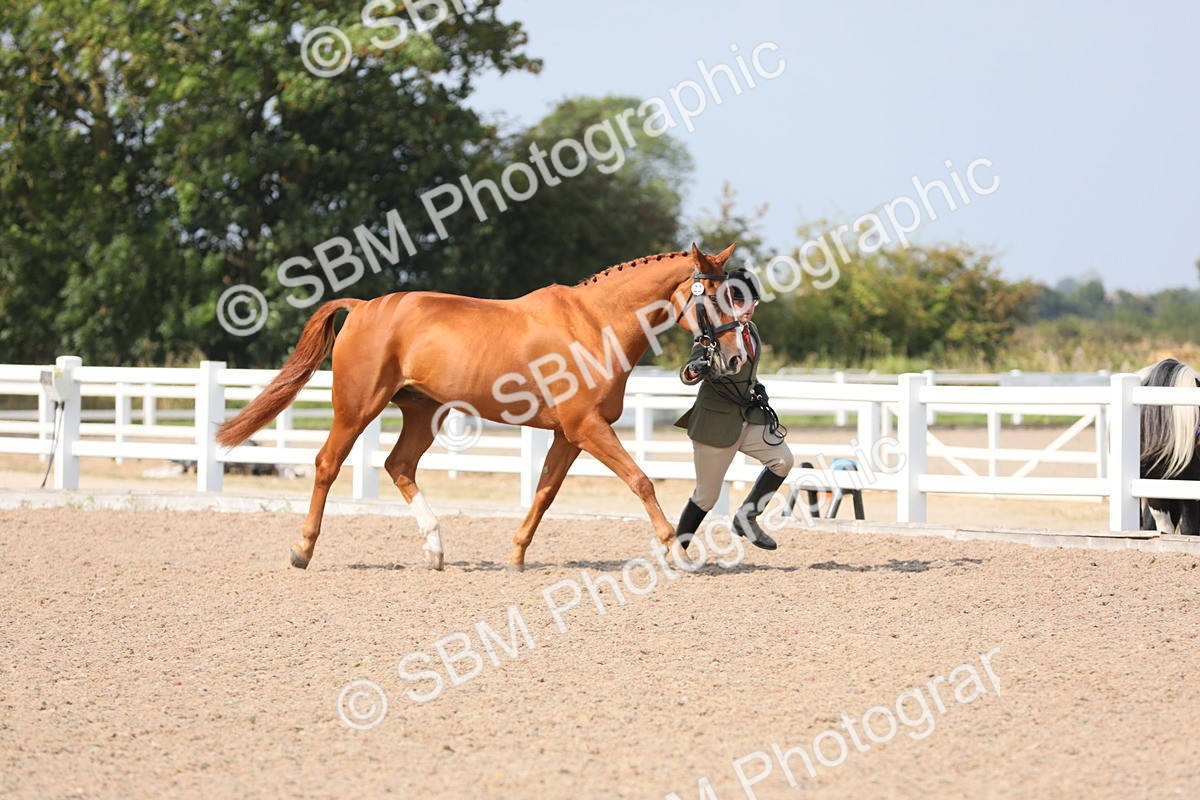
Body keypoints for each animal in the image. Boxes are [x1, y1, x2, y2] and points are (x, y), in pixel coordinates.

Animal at [215, 243, 750, 570]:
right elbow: (641, 480)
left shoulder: (568, 434)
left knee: (399, 465)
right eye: (715, 298)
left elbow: (545, 492)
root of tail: (364, 307)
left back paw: (435, 550)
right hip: (357, 407)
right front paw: (677, 551)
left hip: (423, 412)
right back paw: (302, 550)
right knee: (328, 463)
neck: (595, 323)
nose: (736, 357)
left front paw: (515, 555)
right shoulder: (586, 427)